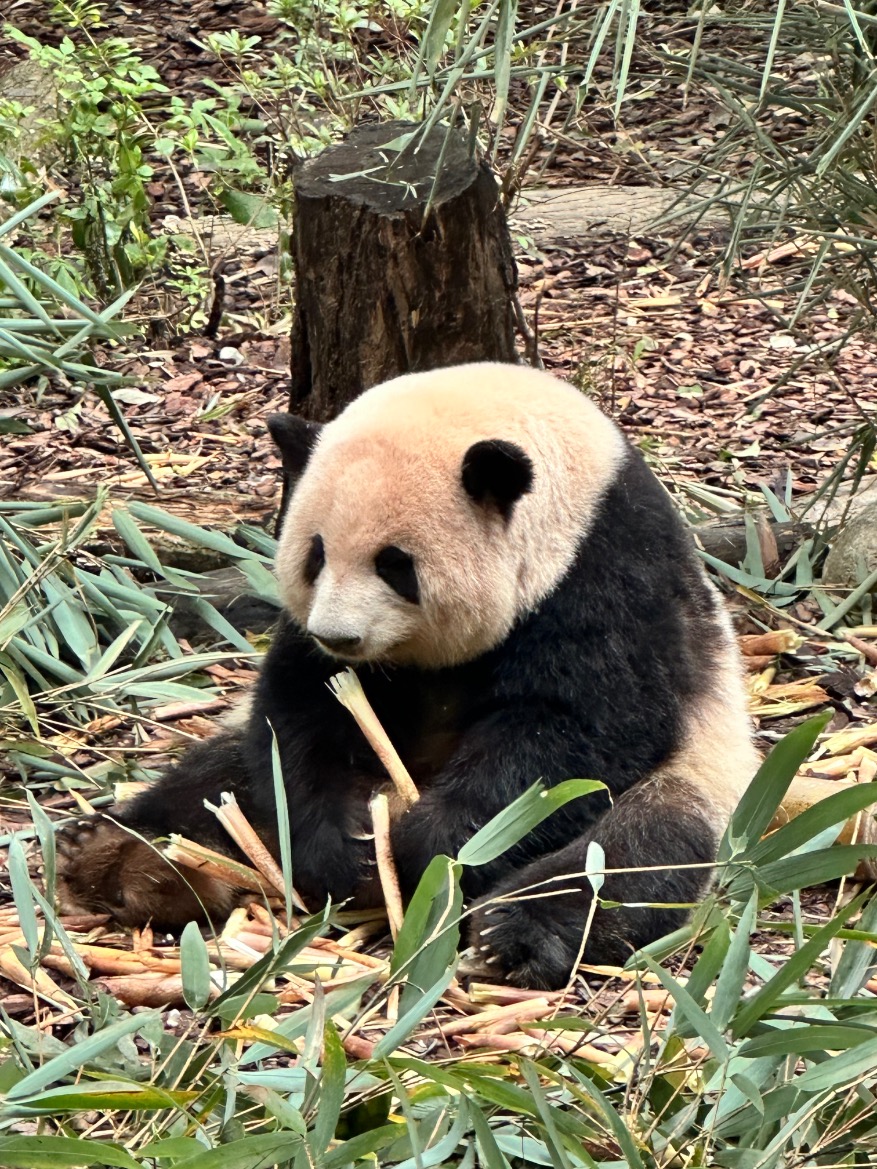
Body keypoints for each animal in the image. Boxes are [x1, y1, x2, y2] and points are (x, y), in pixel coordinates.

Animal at [57, 362, 759, 990]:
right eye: (314, 555)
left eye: (395, 564)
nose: (339, 637)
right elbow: (303, 713)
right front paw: (349, 845)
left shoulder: (608, 575)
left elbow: (577, 728)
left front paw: (430, 846)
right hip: (233, 772)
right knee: (215, 785)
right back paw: (122, 859)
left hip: (699, 771)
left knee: (627, 854)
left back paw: (516, 937)